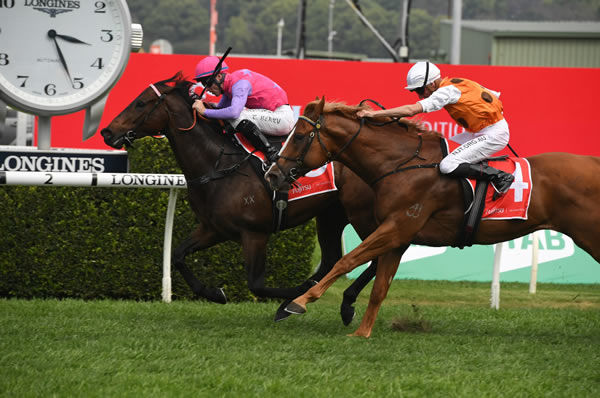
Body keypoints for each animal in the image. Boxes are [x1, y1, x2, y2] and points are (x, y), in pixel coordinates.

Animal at [101, 71, 378, 320]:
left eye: (140, 102)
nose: (107, 132)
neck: (219, 165)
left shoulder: (255, 233)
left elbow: (256, 284)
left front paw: (298, 294)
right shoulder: (213, 229)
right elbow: (178, 255)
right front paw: (215, 293)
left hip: (361, 214)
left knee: (375, 254)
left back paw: (345, 304)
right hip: (331, 215)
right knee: (333, 258)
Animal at [266, 98, 600, 338]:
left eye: (300, 136)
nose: (273, 174)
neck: (401, 164)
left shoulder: (397, 227)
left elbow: (346, 261)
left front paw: (297, 302)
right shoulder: (398, 236)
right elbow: (379, 288)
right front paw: (362, 333)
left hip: (590, 234)